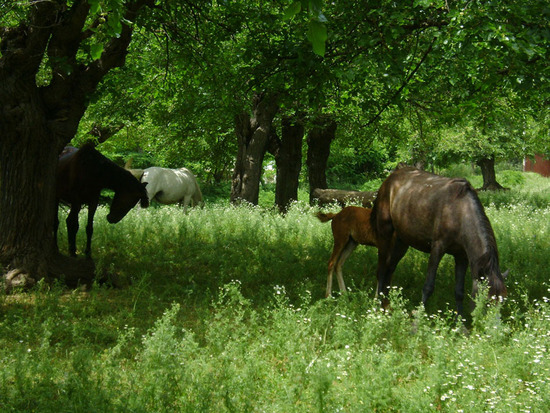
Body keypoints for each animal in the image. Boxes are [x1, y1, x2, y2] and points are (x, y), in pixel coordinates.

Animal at [370, 166, 508, 314]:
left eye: (502, 302)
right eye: (486, 302)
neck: (460, 212)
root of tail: (389, 179)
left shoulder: (462, 256)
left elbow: (459, 291)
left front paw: (460, 318)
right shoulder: (437, 248)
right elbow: (428, 286)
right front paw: (419, 315)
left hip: (401, 241)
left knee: (390, 268)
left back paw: (386, 304)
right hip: (385, 234)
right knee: (381, 270)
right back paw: (377, 304)